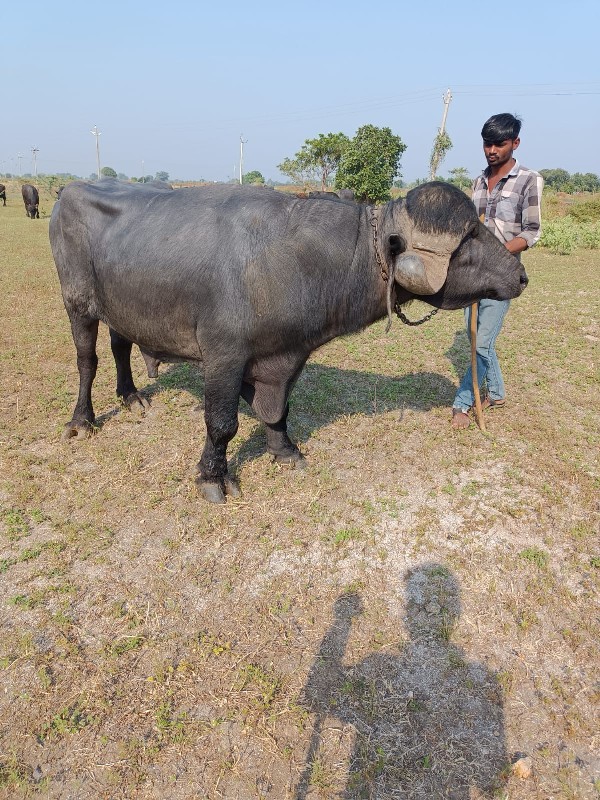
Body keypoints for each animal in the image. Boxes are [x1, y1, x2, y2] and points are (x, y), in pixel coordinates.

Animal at [50, 179, 528, 504]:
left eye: (479, 228)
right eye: (466, 241)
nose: (521, 275)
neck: (295, 260)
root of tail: (67, 191)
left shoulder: (286, 356)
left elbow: (277, 409)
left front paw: (284, 450)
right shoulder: (223, 355)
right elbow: (222, 423)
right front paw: (212, 478)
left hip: (123, 307)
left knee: (120, 346)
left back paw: (131, 395)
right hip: (77, 304)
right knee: (87, 359)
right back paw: (82, 419)